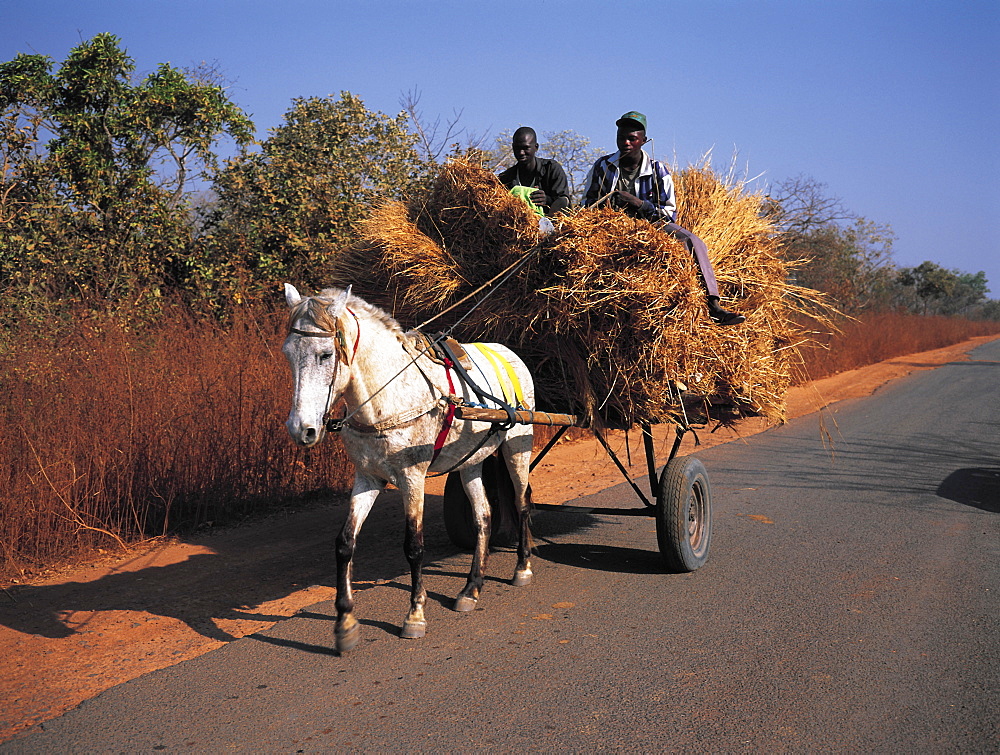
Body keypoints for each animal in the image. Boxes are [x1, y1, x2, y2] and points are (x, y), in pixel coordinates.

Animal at [282, 286, 536, 652]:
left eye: (325, 355)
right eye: (288, 354)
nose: (300, 429)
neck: (386, 396)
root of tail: (508, 351)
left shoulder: (412, 478)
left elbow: (414, 546)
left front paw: (415, 615)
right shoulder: (367, 477)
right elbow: (345, 543)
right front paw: (345, 622)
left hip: (518, 445)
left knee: (522, 504)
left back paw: (523, 568)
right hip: (470, 461)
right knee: (484, 517)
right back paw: (471, 588)